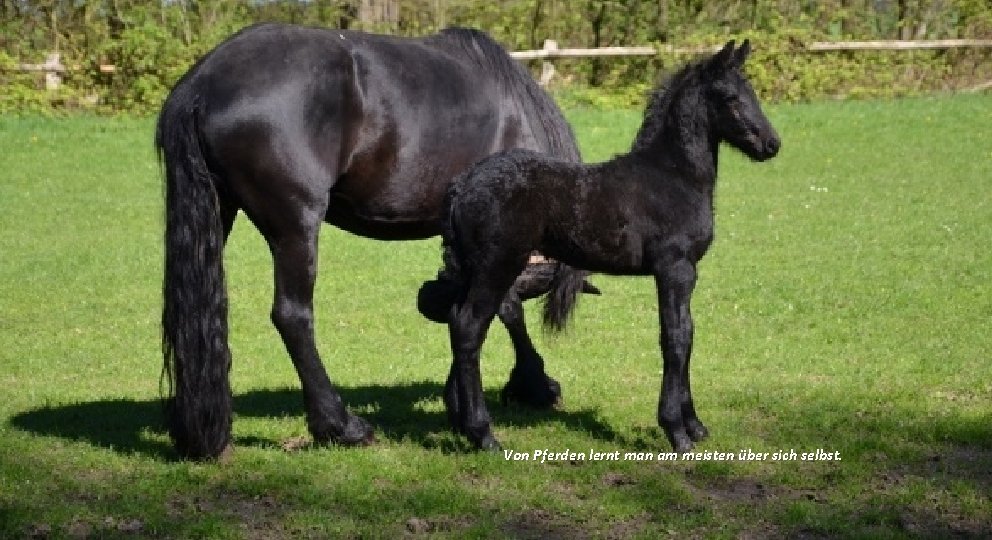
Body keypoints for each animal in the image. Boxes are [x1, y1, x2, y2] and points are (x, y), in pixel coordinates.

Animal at [156, 22, 588, 460]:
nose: (424, 296)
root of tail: (203, 82)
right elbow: (503, 309)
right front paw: (530, 385)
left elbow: (468, 306)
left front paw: (462, 402)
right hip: (295, 227)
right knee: (292, 317)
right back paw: (340, 426)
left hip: (218, 210)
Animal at [422, 40, 780, 452]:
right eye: (731, 98)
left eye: (751, 93)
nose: (771, 144)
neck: (672, 177)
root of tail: (461, 185)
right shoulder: (675, 268)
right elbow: (675, 337)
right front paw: (676, 430)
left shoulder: (685, 271)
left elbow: (687, 334)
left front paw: (695, 425)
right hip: (497, 265)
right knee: (469, 326)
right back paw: (484, 435)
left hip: (472, 268)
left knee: (456, 321)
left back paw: (462, 423)